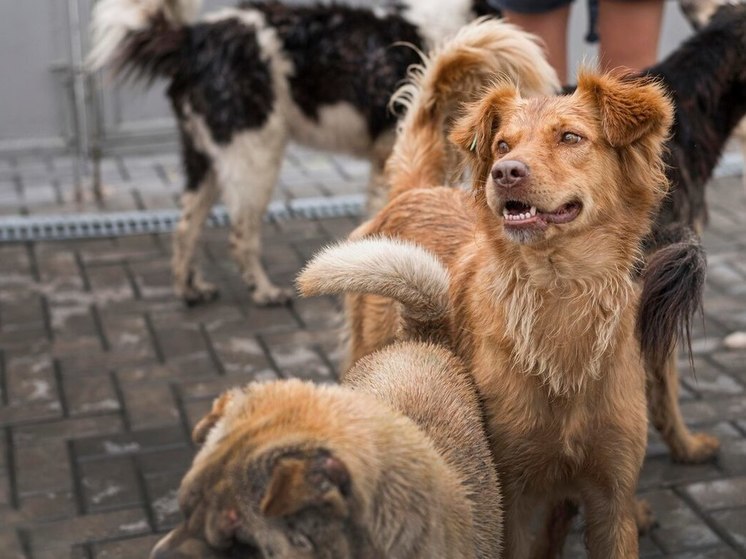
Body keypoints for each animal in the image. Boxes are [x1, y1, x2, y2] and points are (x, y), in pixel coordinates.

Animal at [88, 0, 560, 306]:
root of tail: (193, 38)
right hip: (254, 155)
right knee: (241, 234)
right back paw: (264, 291)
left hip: (204, 157)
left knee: (186, 226)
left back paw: (190, 289)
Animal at [298, 29, 676, 556]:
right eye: (501, 145)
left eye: (571, 137)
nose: (506, 171)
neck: (558, 293)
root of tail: (416, 190)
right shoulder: (508, 497)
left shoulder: (611, 500)